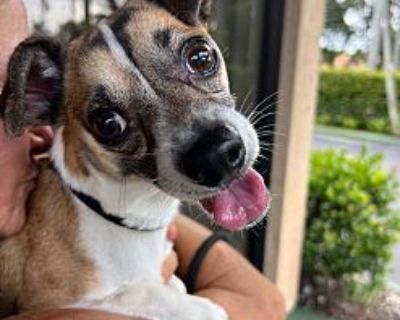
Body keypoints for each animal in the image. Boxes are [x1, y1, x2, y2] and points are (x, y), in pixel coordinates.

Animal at [0, 0, 270, 318]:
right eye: (108, 123)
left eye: (201, 57)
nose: (215, 155)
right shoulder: (49, 304)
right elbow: (144, 291)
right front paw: (200, 307)